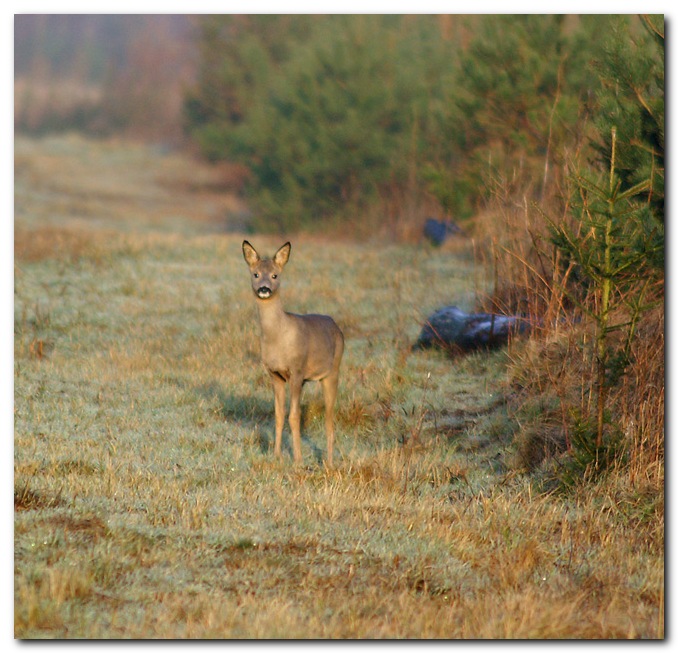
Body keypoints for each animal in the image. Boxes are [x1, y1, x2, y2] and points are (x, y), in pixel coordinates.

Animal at [242, 239, 346, 464]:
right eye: (256, 274)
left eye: (275, 275)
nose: (264, 288)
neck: (278, 337)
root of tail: (336, 326)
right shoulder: (275, 374)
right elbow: (279, 414)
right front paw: (277, 455)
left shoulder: (297, 371)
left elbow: (294, 415)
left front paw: (298, 460)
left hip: (332, 372)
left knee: (329, 417)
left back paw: (329, 462)